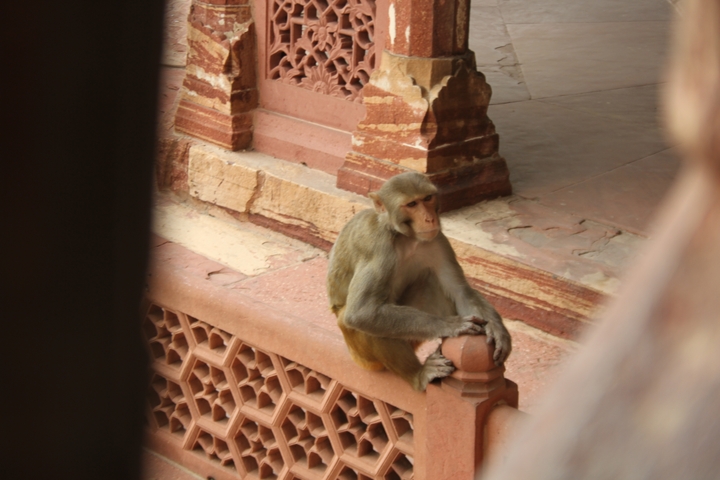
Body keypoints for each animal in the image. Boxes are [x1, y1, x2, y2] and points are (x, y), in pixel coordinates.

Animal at [327, 172, 511, 391]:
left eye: (427, 198)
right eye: (412, 204)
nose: (429, 218)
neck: (405, 236)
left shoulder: (438, 240)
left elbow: (460, 292)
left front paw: (497, 330)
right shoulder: (377, 246)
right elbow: (362, 311)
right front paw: (451, 325)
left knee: (432, 283)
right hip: (364, 358)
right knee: (359, 318)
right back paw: (419, 375)